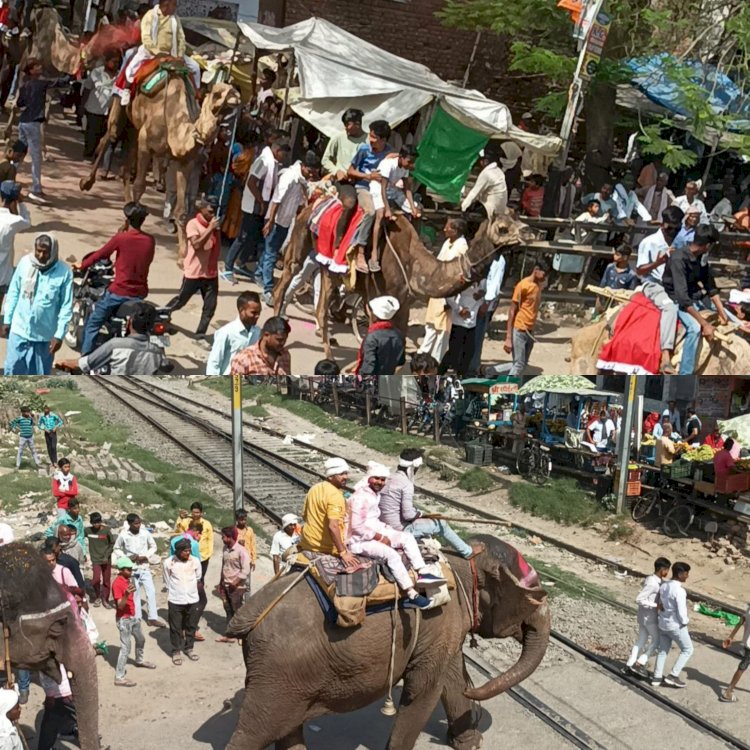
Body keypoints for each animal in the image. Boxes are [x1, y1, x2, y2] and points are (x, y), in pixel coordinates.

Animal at [79, 72, 239, 258]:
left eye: (233, 90)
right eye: (217, 93)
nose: (236, 97)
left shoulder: (184, 161)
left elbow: (182, 210)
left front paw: (183, 254)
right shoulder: (146, 143)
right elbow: (139, 186)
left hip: (135, 127)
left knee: (126, 164)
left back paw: (125, 213)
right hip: (120, 98)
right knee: (110, 135)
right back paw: (86, 182)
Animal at [226, 536, 548, 750]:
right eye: (536, 596)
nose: (476, 698)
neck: (460, 560)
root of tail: (249, 615)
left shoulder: (442, 629)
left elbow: (452, 675)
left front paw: (470, 741)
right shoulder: (441, 617)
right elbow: (424, 690)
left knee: (287, 727)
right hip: (278, 674)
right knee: (254, 733)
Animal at [274, 210, 532, 362]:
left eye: (518, 219)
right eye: (502, 228)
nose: (529, 232)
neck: (413, 265)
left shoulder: (404, 302)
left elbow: (399, 335)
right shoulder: (377, 296)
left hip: (329, 267)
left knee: (320, 302)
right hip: (301, 238)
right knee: (287, 281)